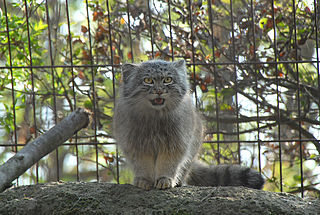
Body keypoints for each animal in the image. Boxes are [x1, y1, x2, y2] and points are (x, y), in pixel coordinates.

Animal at [114, 58, 264, 190]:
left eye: (168, 79)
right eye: (148, 80)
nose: (159, 91)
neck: (155, 118)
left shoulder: (175, 144)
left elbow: (168, 164)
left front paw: (165, 179)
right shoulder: (135, 145)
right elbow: (143, 165)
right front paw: (144, 180)